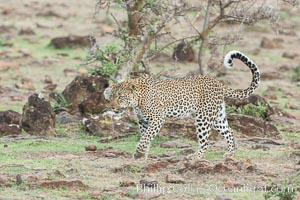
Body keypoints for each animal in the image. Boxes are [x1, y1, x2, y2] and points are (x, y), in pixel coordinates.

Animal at [105, 50, 260, 160]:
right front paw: (143, 154)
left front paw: (139, 153)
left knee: (205, 141)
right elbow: (145, 137)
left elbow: (146, 137)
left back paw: (196, 156)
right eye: (111, 97)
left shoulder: (157, 119)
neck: (138, 99)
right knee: (229, 131)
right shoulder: (143, 121)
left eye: (120, 97)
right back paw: (230, 153)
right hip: (217, 117)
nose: (113, 107)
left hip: (203, 118)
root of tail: (218, 83)